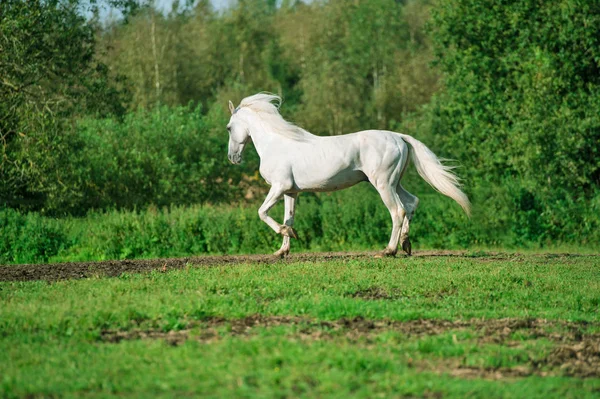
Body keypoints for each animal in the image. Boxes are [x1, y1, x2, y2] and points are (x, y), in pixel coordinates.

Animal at [225, 93, 468, 260]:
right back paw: (406, 245)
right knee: (411, 203)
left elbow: (262, 212)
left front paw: (287, 235)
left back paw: (388, 251)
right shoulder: (290, 192)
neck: (275, 143)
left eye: (228, 127)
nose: (232, 158)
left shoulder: (278, 187)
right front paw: (282, 250)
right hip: (394, 183)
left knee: (398, 211)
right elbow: (288, 218)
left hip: (383, 184)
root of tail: (398, 136)